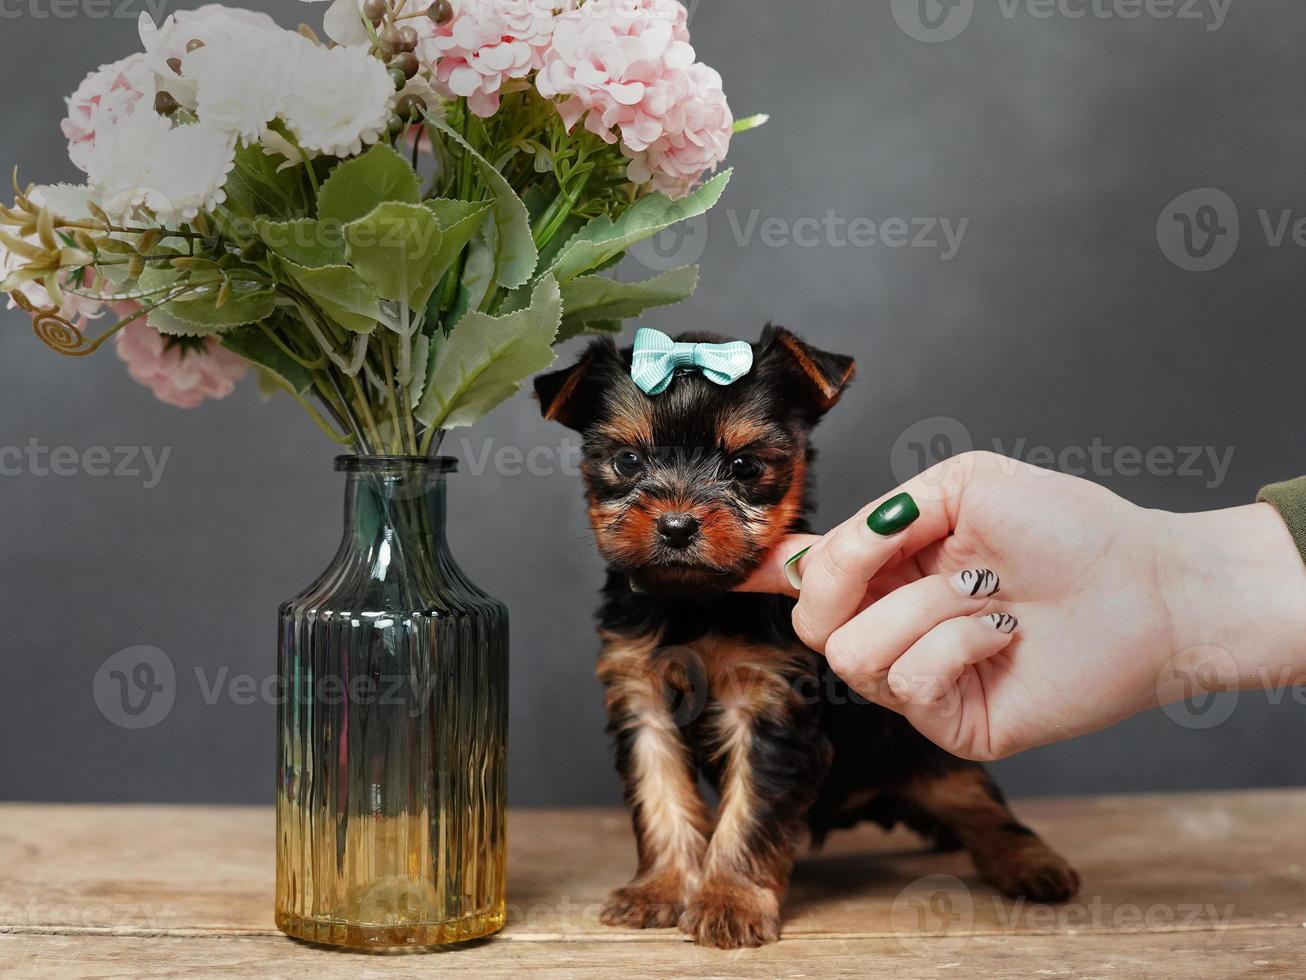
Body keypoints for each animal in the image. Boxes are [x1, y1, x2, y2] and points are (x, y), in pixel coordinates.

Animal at [532, 326, 1081, 946]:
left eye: (745, 466)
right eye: (627, 461)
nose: (676, 525)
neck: (698, 601)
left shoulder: (769, 704)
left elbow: (750, 808)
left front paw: (730, 900)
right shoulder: (641, 698)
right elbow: (661, 794)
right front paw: (662, 889)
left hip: (922, 756)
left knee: (982, 807)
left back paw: (1030, 864)